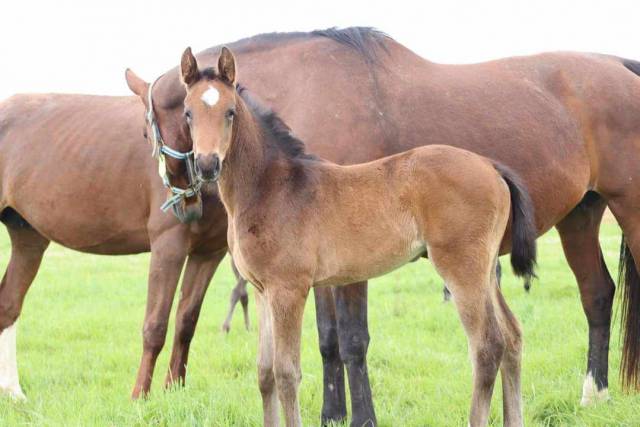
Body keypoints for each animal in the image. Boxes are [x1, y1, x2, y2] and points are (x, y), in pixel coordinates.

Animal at [181, 46, 540, 427]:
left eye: (230, 112)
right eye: (188, 114)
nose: (207, 165)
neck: (272, 187)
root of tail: (490, 166)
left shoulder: (289, 289)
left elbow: (286, 373)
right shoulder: (262, 290)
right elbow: (265, 374)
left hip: (461, 269)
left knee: (487, 346)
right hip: (485, 270)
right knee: (513, 337)